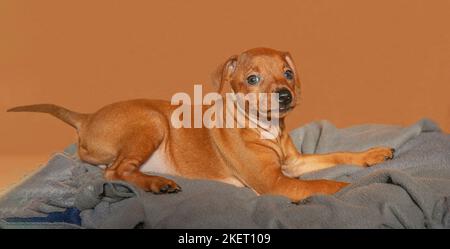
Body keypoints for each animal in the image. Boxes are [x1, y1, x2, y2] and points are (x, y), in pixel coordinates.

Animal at [7, 47, 394, 201]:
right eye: (252, 79)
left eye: (287, 73)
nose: (284, 96)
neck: (264, 127)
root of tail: (86, 117)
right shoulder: (275, 183)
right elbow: (327, 185)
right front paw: (354, 187)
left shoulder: (293, 163)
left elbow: (337, 155)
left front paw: (371, 155)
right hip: (150, 122)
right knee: (115, 172)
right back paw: (157, 184)